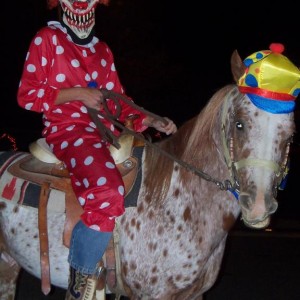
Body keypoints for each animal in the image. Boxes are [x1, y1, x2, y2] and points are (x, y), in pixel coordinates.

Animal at [0, 49, 296, 300]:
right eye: (239, 124)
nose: (258, 206)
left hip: (8, 264)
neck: (179, 203)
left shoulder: (193, 295)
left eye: (291, 134)